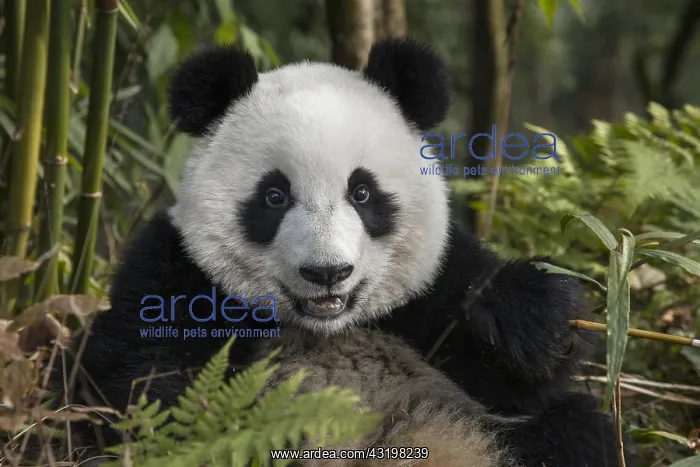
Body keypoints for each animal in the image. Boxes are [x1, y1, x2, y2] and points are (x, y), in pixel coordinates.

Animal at [56, 38, 635, 466]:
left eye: (362, 192)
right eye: (274, 196)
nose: (327, 272)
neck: (325, 326)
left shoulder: (432, 288)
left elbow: (517, 378)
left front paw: (526, 316)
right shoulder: (174, 272)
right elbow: (142, 384)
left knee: (575, 431)